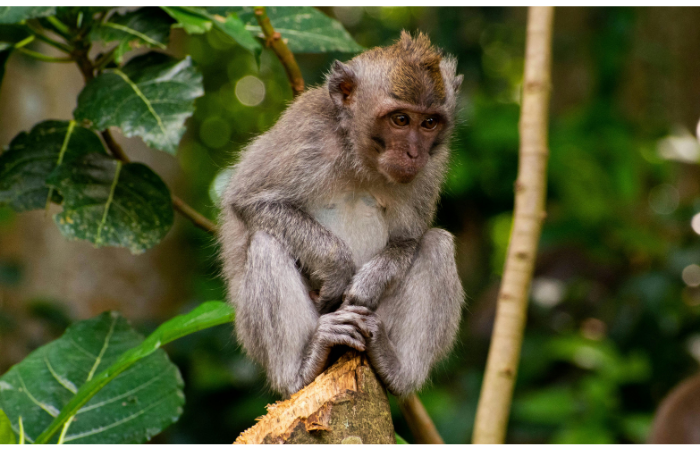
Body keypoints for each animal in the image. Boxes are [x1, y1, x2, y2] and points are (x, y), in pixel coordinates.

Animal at [218, 31, 465, 398]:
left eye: (429, 122)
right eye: (400, 120)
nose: (413, 153)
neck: (360, 158)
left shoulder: (432, 168)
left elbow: (408, 240)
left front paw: (368, 282)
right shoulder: (306, 133)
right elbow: (251, 201)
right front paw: (337, 269)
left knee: (437, 244)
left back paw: (396, 370)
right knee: (266, 241)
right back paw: (301, 369)